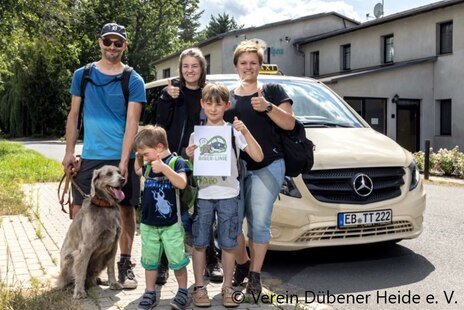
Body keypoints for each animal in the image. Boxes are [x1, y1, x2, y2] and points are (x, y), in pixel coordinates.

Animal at [56, 165, 125, 298]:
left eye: (119, 172)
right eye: (109, 174)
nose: (123, 179)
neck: (104, 206)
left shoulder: (113, 245)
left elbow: (111, 267)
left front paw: (113, 283)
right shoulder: (85, 248)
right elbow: (81, 271)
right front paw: (79, 292)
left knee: (92, 276)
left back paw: (98, 280)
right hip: (70, 259)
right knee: (64, 282)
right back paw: (71, 287)